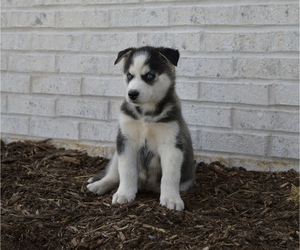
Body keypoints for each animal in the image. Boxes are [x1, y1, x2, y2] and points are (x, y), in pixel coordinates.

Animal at [86, 46, 195, 210]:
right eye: (129, 75)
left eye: (149, 76)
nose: (131, 94)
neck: (146, 114)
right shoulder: (126, 140)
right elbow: (126, 171)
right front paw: (124, 194)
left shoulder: (171, 144)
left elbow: (170, 175)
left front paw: (172, 199)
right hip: (117, 152)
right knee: (114, 175)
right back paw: (99, 185)